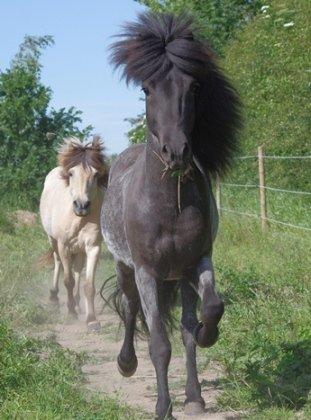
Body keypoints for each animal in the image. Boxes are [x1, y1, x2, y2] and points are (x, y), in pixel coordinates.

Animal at [40, 138, 109, 332]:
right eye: (71, 173)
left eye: (95, 174)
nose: (82, 205)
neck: (78, 218)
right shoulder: (63, 245)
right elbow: (68, 280)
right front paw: (70, 312)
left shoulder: (93, 247)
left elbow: (88, 284)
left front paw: (91, 320)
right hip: (53, 241)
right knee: (58, 263)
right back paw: (54, 298)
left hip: (79, 248)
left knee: (78, 269)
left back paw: (78, 304)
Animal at [101, 11, 243, 418]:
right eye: (147, 90)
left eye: (192, 88)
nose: (176, 152)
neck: (167, 207)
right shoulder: (147, 272)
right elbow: (159, 344)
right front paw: (163, 405)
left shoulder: (197, 261)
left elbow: (209, 311)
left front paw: (208, 337)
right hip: (125, 267)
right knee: (130, 308)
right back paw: (126, 363)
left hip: (178, 277)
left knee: (185, 323)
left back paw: (194, 393)